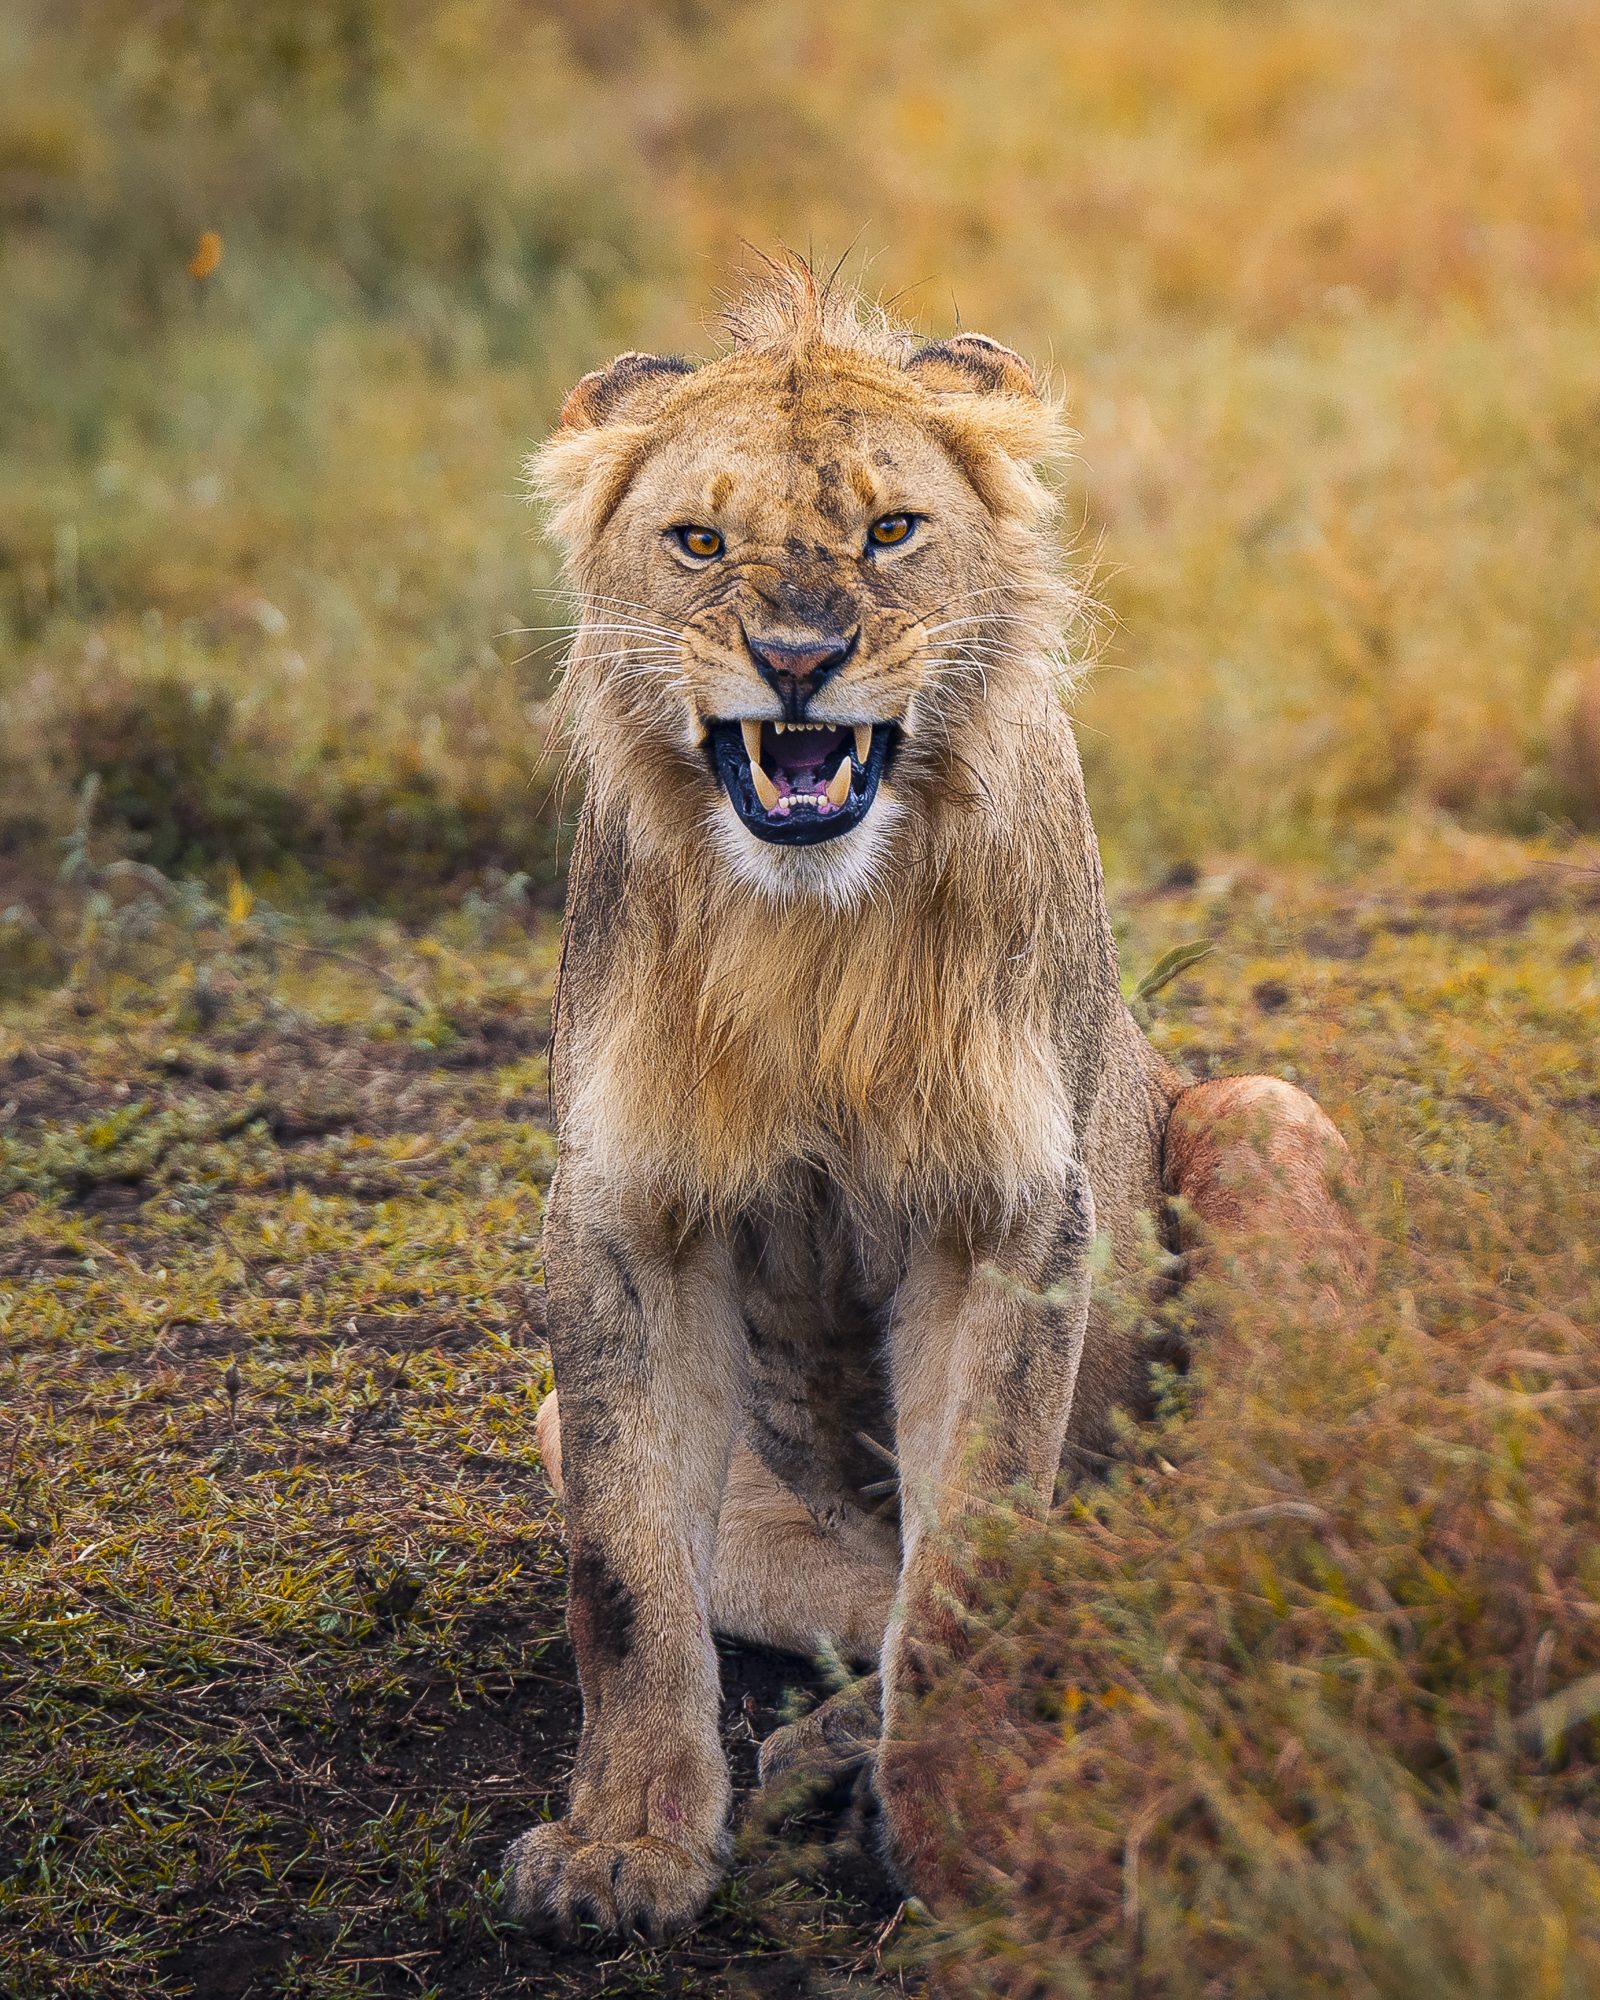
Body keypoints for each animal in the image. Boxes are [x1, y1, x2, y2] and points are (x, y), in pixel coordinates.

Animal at [502, 262, 1362, 1941]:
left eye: (891, 530)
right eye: (698, 543)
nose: (795, 658)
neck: (811, 935)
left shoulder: (1013, 1218)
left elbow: (970, 1568)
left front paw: (967, 1839)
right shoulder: (628, 1215)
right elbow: (626, 1581)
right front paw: (625, 1848)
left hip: (1259, 1114)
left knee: (1160, 1528)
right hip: (597, 1435)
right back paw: (816, 1762)